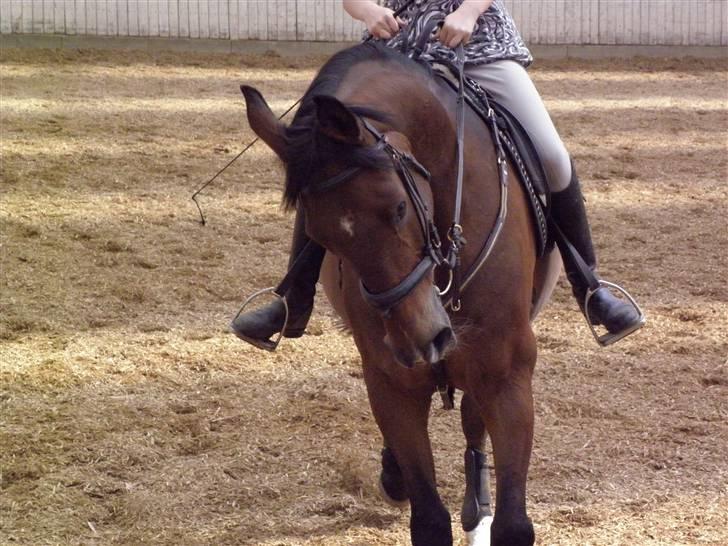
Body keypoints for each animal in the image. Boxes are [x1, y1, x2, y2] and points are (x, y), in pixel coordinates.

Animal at [242, 43, 560, 544]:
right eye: (320, 236)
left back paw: (476, 505)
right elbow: (428, 518)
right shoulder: (393, 382)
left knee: (472, 420)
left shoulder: (505, 373)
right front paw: (403, 477)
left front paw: (486, 510)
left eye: (397, 208)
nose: (420, 339)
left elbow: (513, 522)